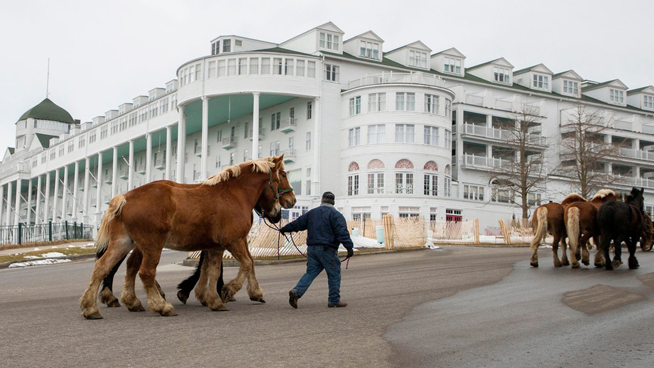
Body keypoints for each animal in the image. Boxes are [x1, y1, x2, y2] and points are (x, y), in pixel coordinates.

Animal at [79, 156, 298, 320]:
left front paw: (214, 299)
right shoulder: (233, 241)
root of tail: (125, 197)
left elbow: (212, 270)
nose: (292, 201)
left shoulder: (215, 246)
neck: (233, 193)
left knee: (103, 267)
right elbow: (245, 264)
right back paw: (161, 305)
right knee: (145, 272)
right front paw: (228, 291)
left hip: (124, 243)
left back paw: (94, 307)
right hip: (151, 246)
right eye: (283, 175)